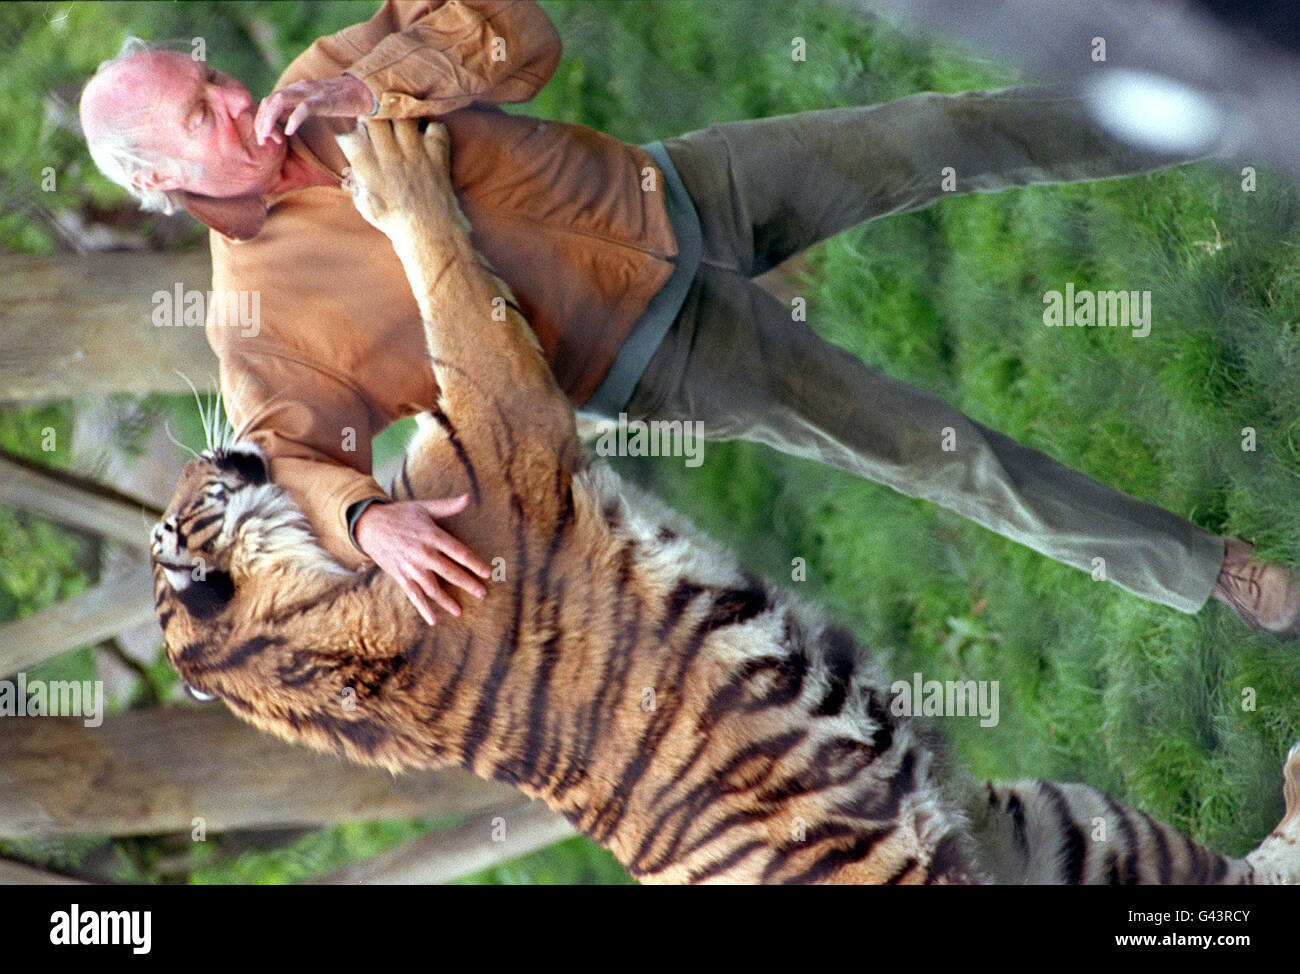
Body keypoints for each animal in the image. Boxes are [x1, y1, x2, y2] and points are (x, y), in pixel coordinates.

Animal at [149, 117, 1300, 884]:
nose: (213, 449)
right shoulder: (501, 422)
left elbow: (457, 305)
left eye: (178, 498)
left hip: (1062, 824)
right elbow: (448, 284)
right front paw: (393, 175)